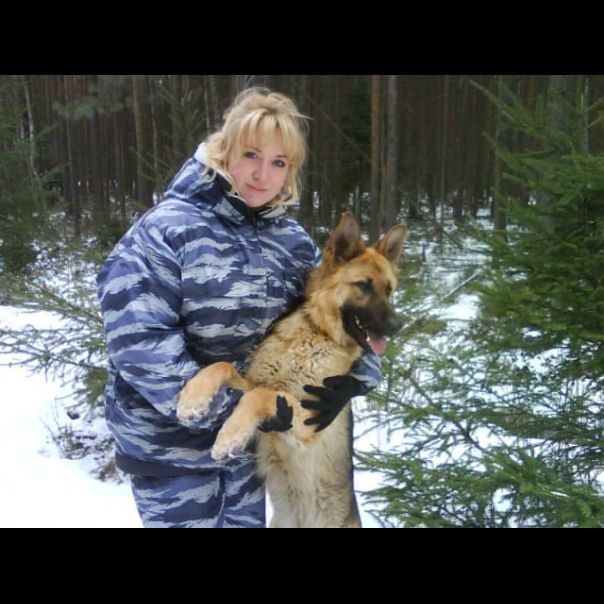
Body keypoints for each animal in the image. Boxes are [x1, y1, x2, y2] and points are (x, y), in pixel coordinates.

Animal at [177, 213, 406, 527]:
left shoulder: (309, 419)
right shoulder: (253, 381)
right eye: (364, 285)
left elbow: (261, 396)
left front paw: (229, 437)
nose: (398, 326)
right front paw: (192, 401)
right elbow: (222, 367)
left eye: (389, 290)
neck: (315, 333)